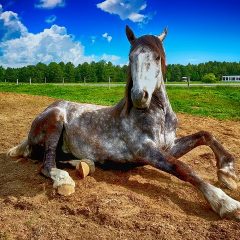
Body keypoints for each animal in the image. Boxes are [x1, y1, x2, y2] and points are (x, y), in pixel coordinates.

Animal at [7, 25, 240, 220]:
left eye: (157, 57)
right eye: (130, 57)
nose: (139, 96)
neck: (159, 117)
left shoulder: (169, 146)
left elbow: (205, 135)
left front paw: (227, 174)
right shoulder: (145, 150)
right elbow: (183, 168)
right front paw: (224, 202)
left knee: (60, 158)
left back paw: (85, 164)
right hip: (55, 120)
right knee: (47, 164)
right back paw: (64, 180)